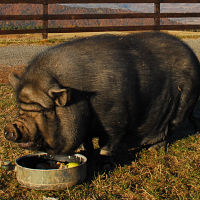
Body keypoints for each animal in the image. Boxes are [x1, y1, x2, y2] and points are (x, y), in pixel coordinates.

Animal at [3, 31, 200, 156]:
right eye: (21, 108)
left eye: (45, 111)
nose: (10, 128)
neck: (81, 96)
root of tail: (194, 58)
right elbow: (87, 141)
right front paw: (88, 151)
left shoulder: (115, 115)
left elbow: (112, 137)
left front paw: (104, 154)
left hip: (183, 103)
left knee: (171, 128)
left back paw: (154, 149)